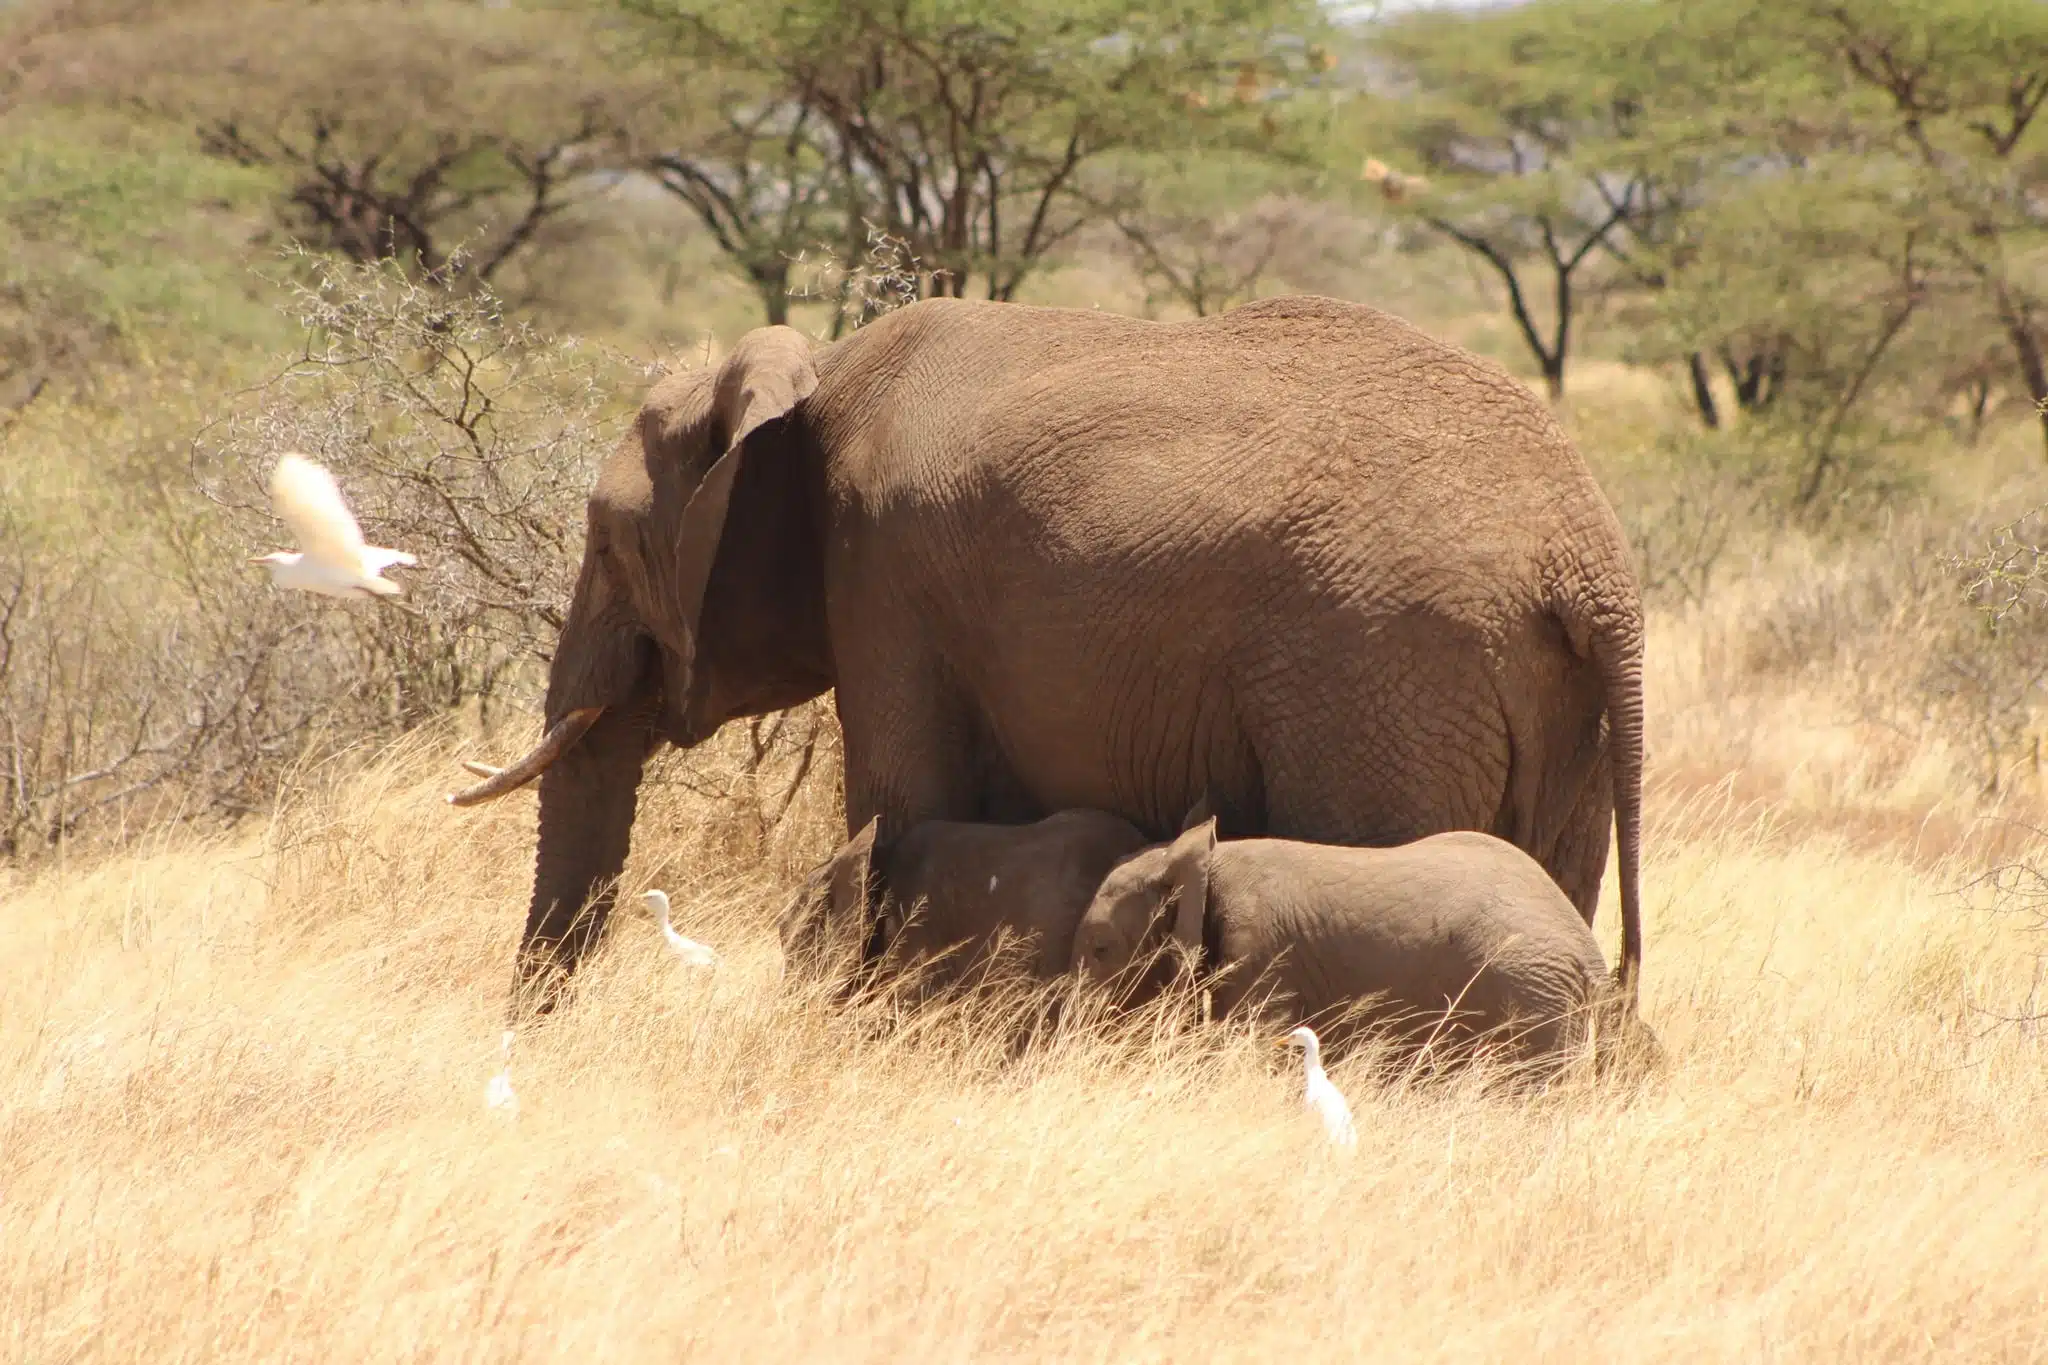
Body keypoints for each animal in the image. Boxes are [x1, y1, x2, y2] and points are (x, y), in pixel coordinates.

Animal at [1070, 818, 1647, 1071]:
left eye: (1100, 949)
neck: (1207, 858)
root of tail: (1591, 958)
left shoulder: (1260, 949)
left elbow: (1251, 1043)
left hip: (1529, 1001)